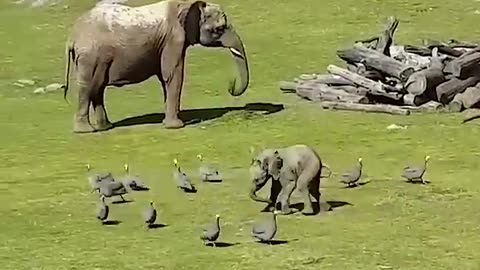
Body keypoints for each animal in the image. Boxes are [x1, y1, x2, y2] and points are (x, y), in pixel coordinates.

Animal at [62, 0, 249, 133]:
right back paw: (85, 131)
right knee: (88, 87)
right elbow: (173, 75)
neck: (186, 4)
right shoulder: (173, 40)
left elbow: (165, 78)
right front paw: (176, 126)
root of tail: (72, 37)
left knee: (97, 88)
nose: (230, 85)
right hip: (90, 56)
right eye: (219, 29)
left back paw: (105, 127)